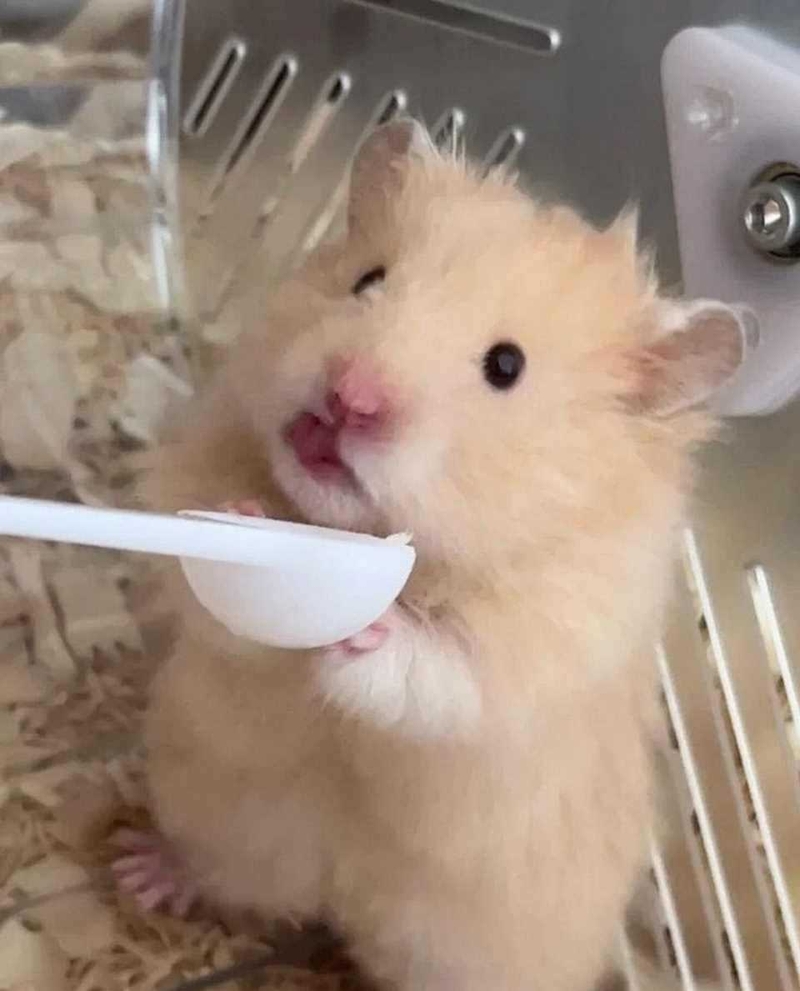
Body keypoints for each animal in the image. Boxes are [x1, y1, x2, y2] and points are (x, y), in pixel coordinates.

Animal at [120, 120, 747, 991]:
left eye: (506, 365)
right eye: (367, 280)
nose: (349, 395)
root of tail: (337, 900)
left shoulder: (552, 636)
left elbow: (443, 674)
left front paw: (369, 628)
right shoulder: (196, 470)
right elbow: (217, 604)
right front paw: (249, 522)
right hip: (213, 802)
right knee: (229, 877)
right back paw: (141, 869)